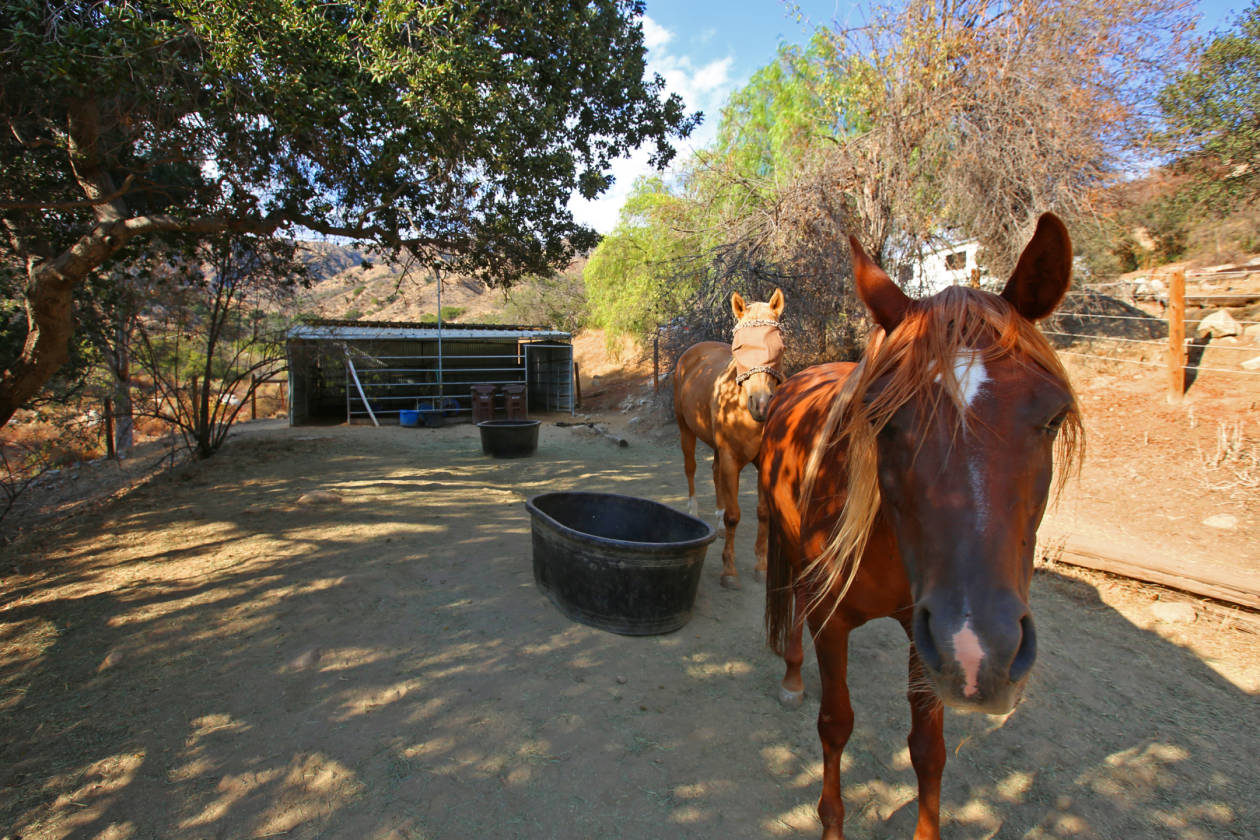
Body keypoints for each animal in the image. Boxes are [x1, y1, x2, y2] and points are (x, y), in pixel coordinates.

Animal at [673, 289, 786, 588]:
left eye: (779, 348)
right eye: (738, 348)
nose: (761, 404)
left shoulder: (762, 462)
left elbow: (763, 513)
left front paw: (761, 566)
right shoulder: (730, 457)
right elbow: (735, 515)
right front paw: (729, 571)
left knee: (714, 473)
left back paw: (719, 519)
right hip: (685, 428)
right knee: (691, 468)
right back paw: (694, 510)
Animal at [759, 214, 1081, 840]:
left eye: (1054, 416)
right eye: (881, 420)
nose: (984, 655)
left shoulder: (925, 636)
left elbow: (928, 748)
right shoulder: (833, 621)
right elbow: (835, 724)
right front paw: (831, 822)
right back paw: (791, 677)